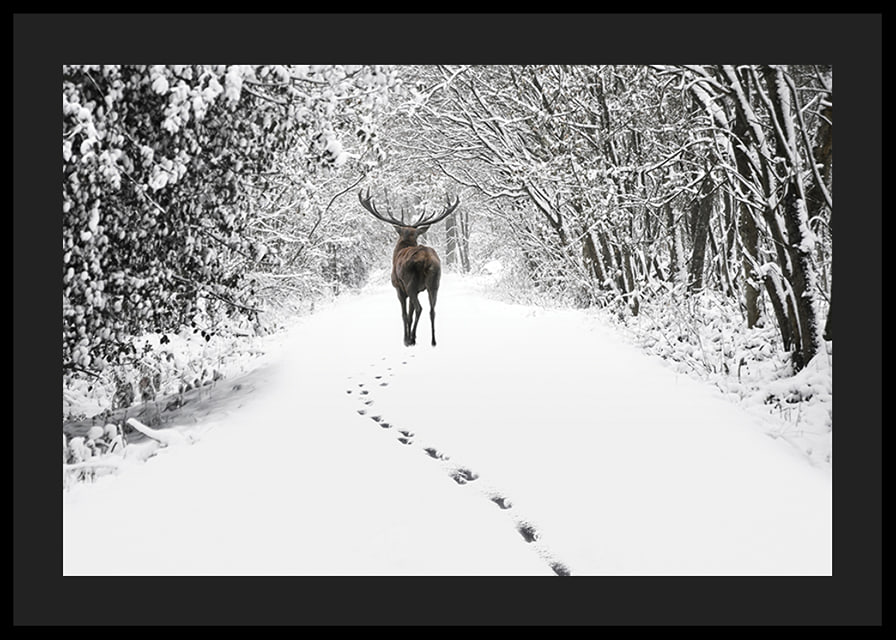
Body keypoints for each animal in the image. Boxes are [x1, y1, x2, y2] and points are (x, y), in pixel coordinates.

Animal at [358, 188, 460, 347]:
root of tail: (426, 259)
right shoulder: (418, 289)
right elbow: (410, 314)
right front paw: (413, 336)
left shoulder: (399, 288)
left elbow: (405, 314)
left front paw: (406, 338)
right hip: (434, 283)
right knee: (432, 310)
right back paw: (433, 341)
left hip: (410, 282)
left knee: (420, 308)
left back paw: (411, 339)